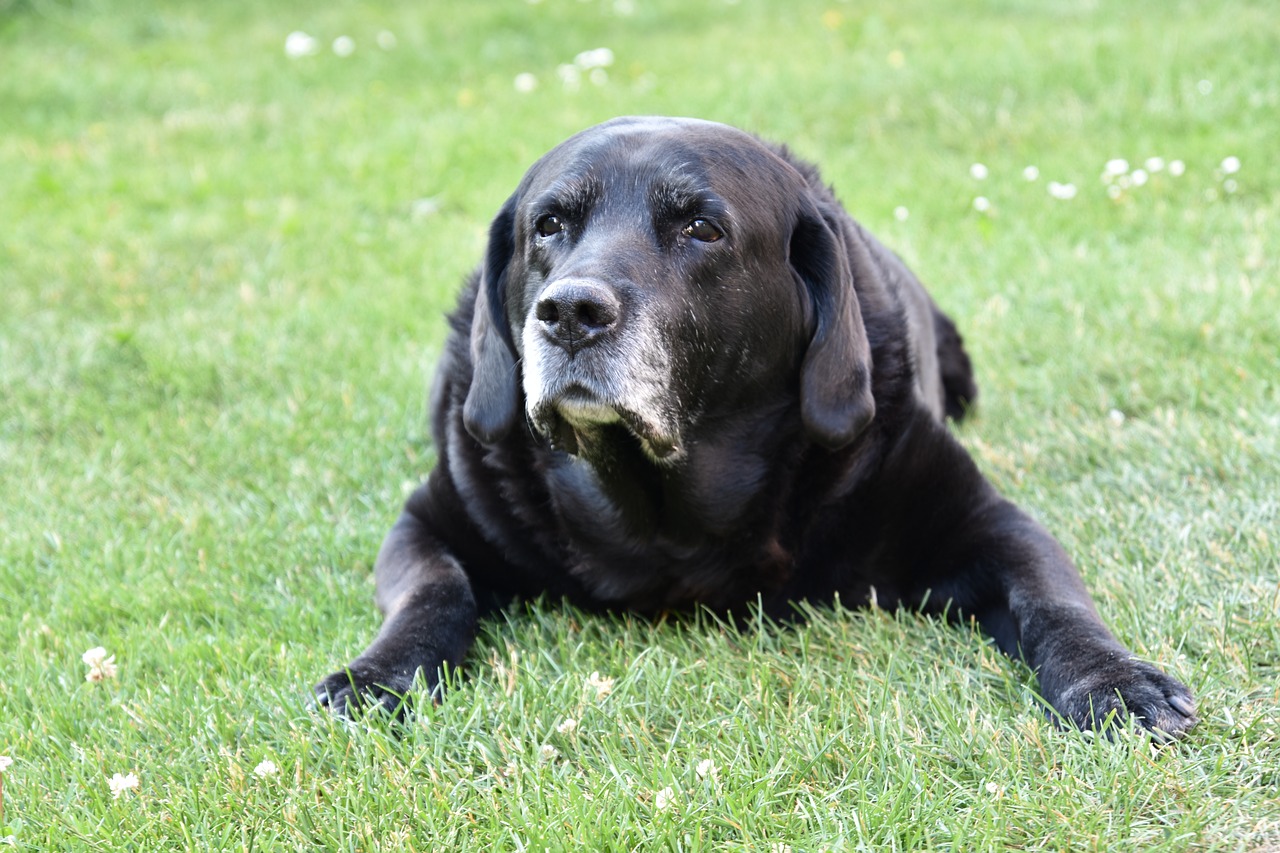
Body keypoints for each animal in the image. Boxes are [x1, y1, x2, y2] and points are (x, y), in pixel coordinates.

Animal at [314, 117, 1192, 737]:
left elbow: (1052, 595)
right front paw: (377, 676)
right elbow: (434, 589)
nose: (568, 312)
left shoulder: (984, 519)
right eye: (548, 226)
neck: (663, 513)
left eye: (701, 228)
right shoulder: (429, 519)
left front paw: (1114, 678)